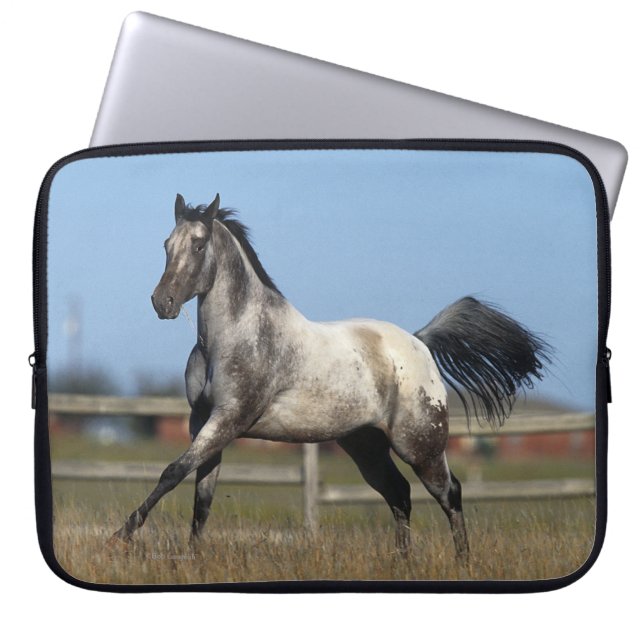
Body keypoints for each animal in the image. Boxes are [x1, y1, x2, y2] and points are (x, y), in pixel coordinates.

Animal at [109, 193, 549, 559]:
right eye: (167, 245)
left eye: (199, 245)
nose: (162, 302)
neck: (234, 336)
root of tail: (420, 342)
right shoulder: (203, 422)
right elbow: (202, 497)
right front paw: (193, 558)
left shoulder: (229, 419)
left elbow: (172, 472)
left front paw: (120, 536)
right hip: (365, 446)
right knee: (400, 495)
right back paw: (402, 563)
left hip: (420, 446)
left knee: (449, 493)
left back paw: (463, 561)